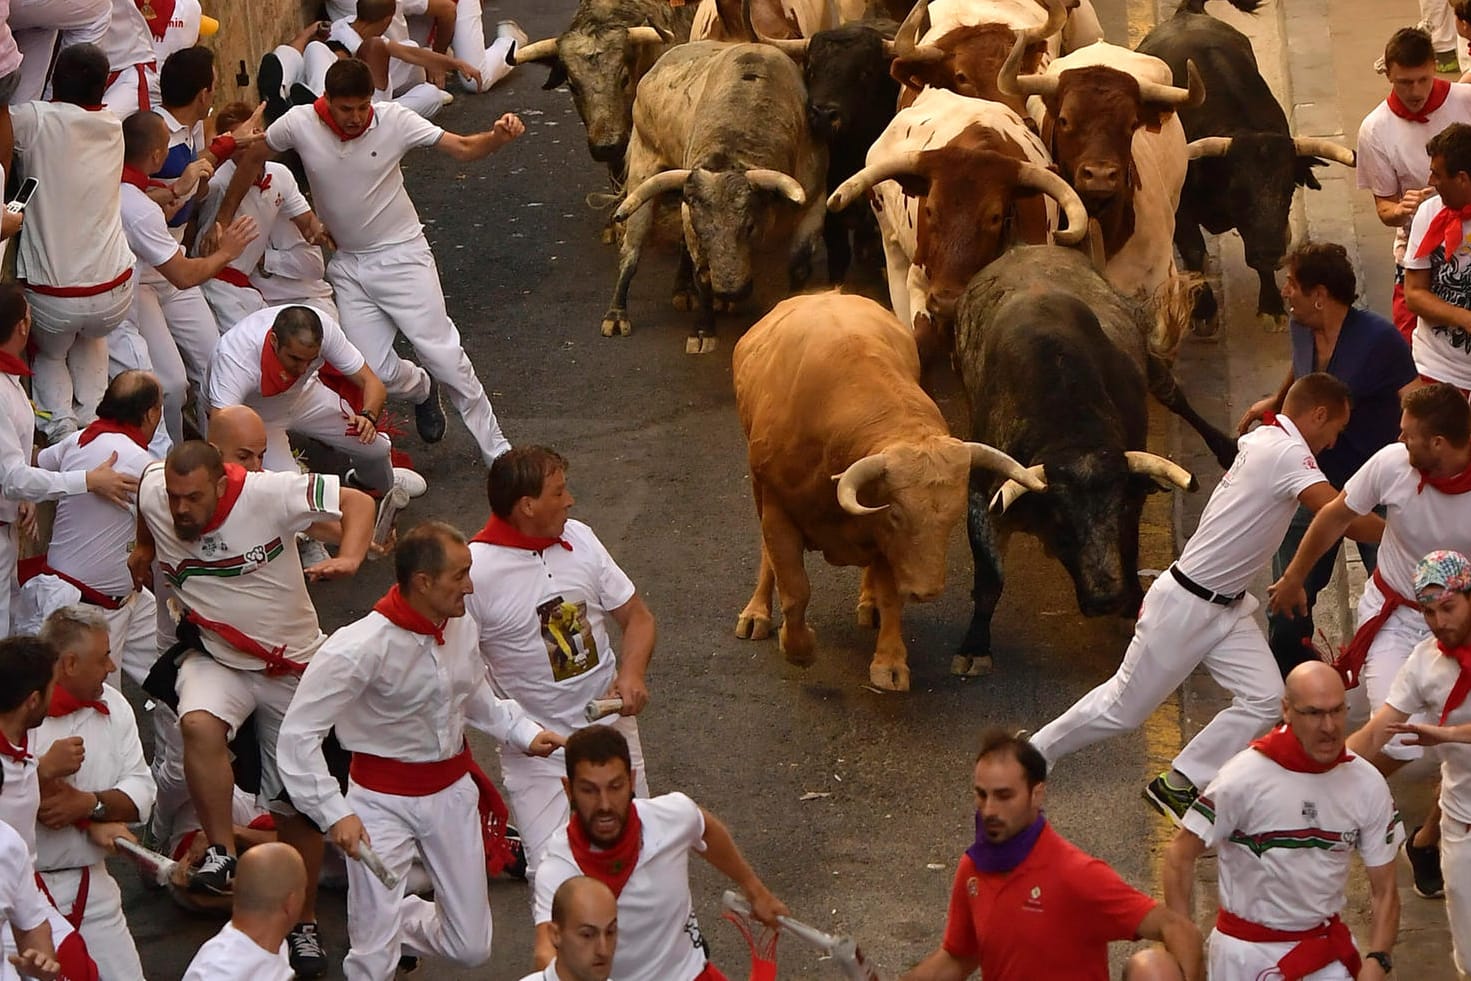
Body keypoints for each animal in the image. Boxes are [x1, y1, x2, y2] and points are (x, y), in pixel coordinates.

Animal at [729, 291, 1041, 691]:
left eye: (953, 519)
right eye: (896, 514)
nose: (927, 589)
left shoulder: (886, 541)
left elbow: (891, 594)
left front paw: (890, 661)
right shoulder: (779, 509)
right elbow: (795, 587)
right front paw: (798, 647)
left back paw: (870, 603)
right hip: (759, 492)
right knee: (769, 557)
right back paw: (756, 613)